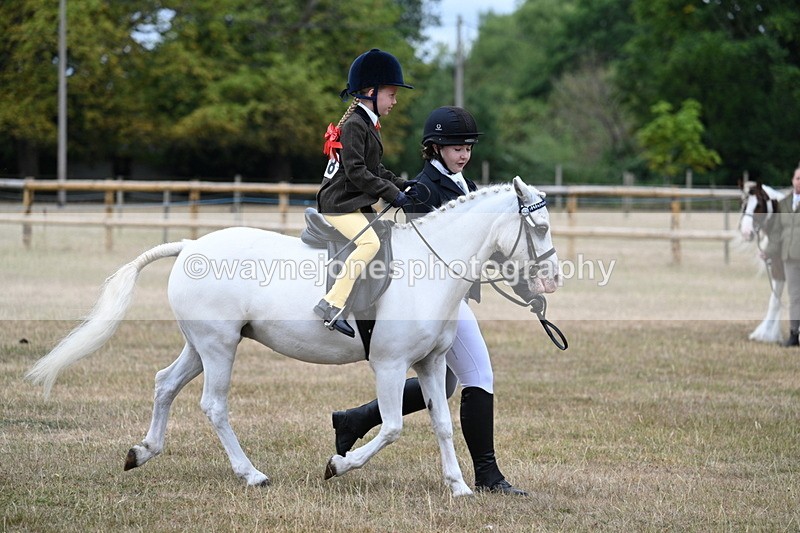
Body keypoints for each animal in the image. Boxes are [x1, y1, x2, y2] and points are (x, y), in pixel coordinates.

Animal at [26, 176, 560, 497]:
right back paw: (252, 474)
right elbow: (392, 427)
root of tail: (192, 244)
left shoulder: (429, 364)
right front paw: (338, 465)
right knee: (213, 405)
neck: (429, 266)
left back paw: (142, 452)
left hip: (201, 346)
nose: (552, 281)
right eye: (538, 225)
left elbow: (443, 424)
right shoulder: (389, 365)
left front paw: (459, 487)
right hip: (219, 348)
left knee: (164, 383)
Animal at [739, 180, 787, 342]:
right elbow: (775, 301)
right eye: (743, 204)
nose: (746, 232)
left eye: (758, 205)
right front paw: (765, 334)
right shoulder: (779, 269)